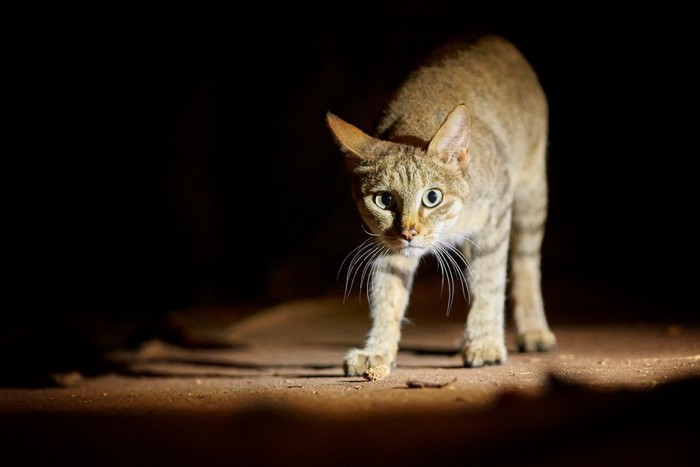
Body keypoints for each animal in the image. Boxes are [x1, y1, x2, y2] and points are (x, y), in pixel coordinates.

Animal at [326, 33, 556, 380]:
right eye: (384, 200)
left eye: (432, 197)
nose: (408, 233)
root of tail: (490, 36)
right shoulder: (386, 245)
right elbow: (386, 294)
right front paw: (377, 351)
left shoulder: (496, 215)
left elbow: (490, 280)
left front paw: (485, 342)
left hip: (531, 191)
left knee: (525, 262)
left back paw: (533, 330)